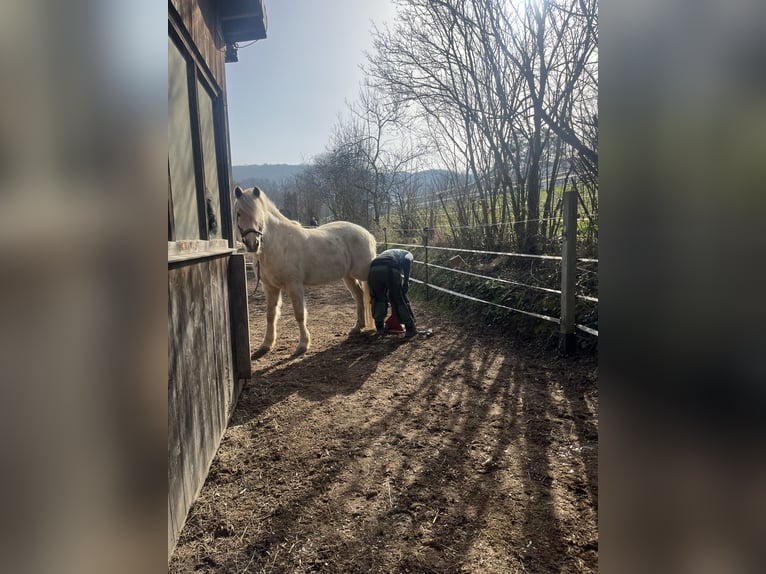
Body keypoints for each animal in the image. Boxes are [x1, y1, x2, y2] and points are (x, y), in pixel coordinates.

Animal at [233, 186, 376, 355]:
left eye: (259, 214)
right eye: (238, 213)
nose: (252, 244)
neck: (278, 245)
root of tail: (367, 233)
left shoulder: (294, 285)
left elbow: (299, 314)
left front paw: (303, 344)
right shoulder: (270, 287)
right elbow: (270, 315)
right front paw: (266, 344)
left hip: (364, 273)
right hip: (348, 277)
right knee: (359, 296)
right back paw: (357, 327)